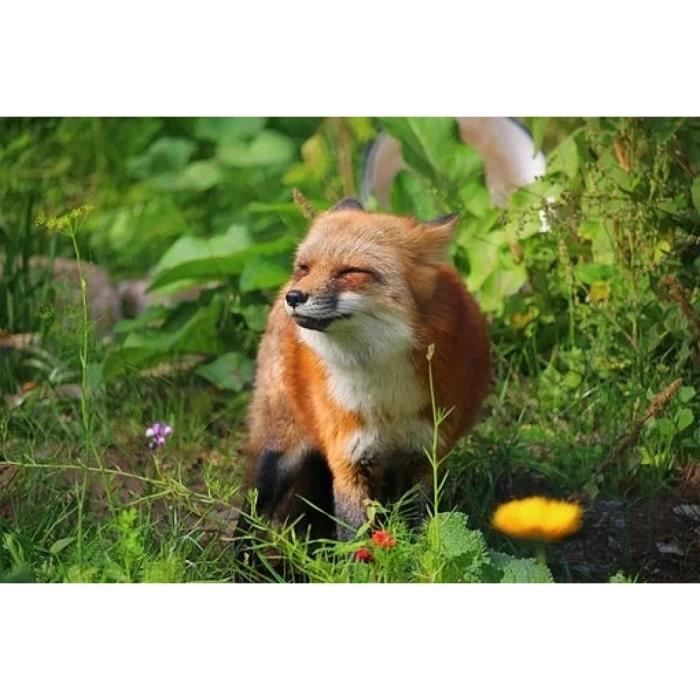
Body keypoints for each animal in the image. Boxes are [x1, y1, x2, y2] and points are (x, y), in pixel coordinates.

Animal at [243, 197, 491, 540]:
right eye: (305, 267)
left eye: (351, 271)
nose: (294, 297)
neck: (384, 397)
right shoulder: (348, 457)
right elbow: (355, 539)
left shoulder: (424, 457)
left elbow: (420, 529)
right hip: (279, 455)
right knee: (249, 512)